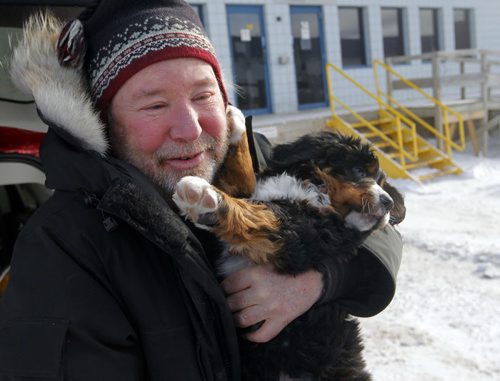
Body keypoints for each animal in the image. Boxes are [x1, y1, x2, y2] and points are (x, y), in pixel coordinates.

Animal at [174, 106, 404, 380]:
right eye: (359, 171)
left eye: (382, 184)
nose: (389, 202)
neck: (315, 191)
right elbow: (242, 181)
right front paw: (237, 125)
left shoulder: (302, 239)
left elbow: (260, 214)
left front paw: (205, 198)